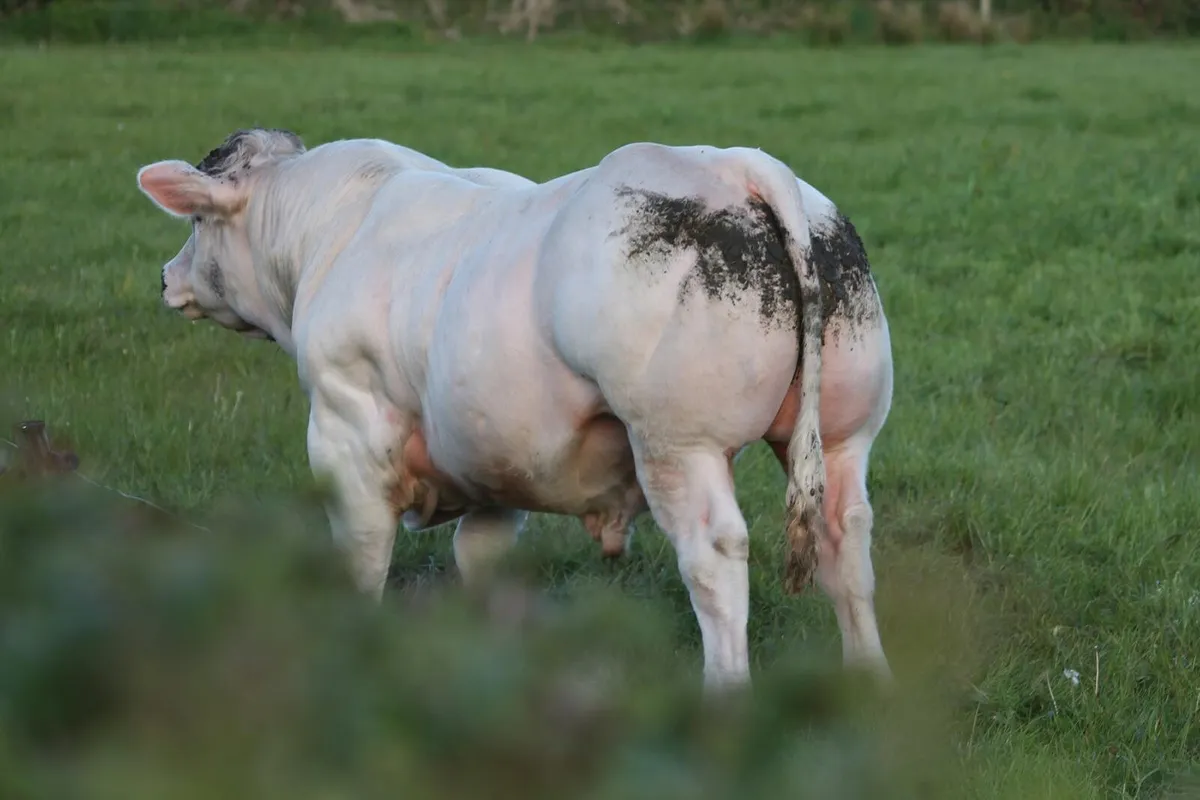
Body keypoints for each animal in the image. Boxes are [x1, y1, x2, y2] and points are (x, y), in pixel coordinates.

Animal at [134, 128, 893, 690]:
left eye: (197, 222)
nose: (166, 277)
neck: (330, 226)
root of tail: (737, 164)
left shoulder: (348, 431)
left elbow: (362, 557)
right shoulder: (495, 461)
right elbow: (482, 562)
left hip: (679, 444)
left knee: (715, 555)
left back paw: (725, 696)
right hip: (842, 437)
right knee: (846, 540)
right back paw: (868, 681)